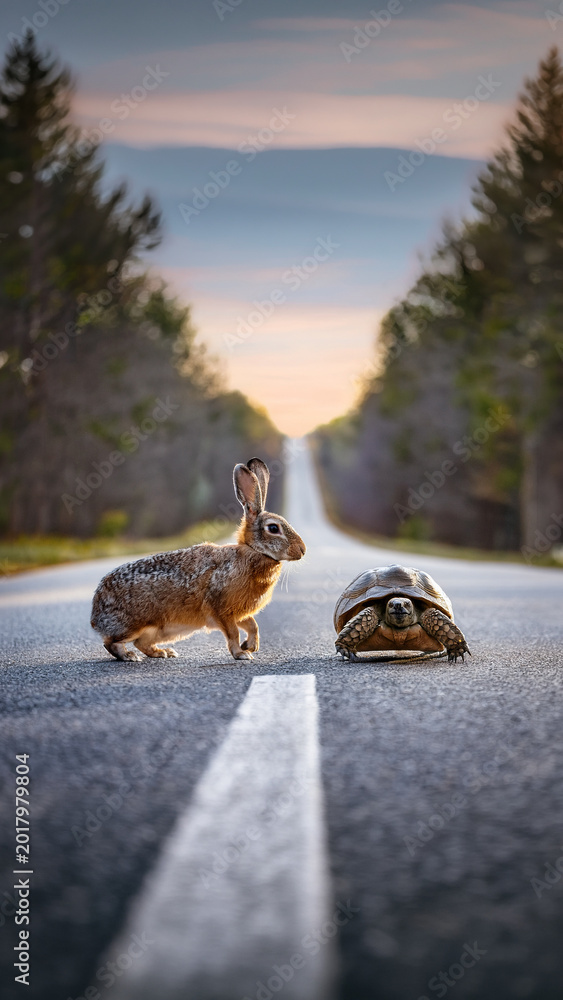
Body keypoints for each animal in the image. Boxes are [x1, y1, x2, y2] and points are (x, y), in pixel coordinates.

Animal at [91, 458, 306, 662]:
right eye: (273, 528)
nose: (302, 550)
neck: (253, 552)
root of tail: (96, 614)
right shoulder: (221, 610)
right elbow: (233, 633)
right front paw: (242, 654)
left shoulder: (239, 612)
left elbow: (253, 625)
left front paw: (250, 646)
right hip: (136, 624)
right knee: (111, 642)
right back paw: (129, 656)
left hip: (159, 630)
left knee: (141, 643)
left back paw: (164, 652)